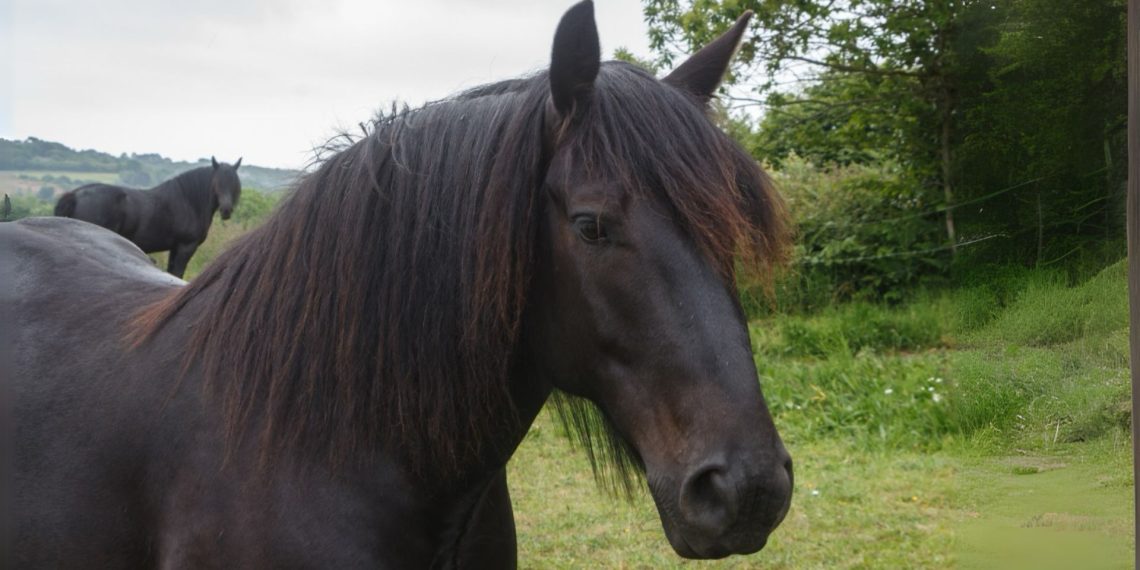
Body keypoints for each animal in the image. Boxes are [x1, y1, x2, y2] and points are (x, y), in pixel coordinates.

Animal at [53, 157, 242, 277]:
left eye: (234, 182)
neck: (189, 201)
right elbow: (177, 274)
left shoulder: (175, 248)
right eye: (217, 182)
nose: (226, 210)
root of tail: (75, 195)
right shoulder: (185, 247)